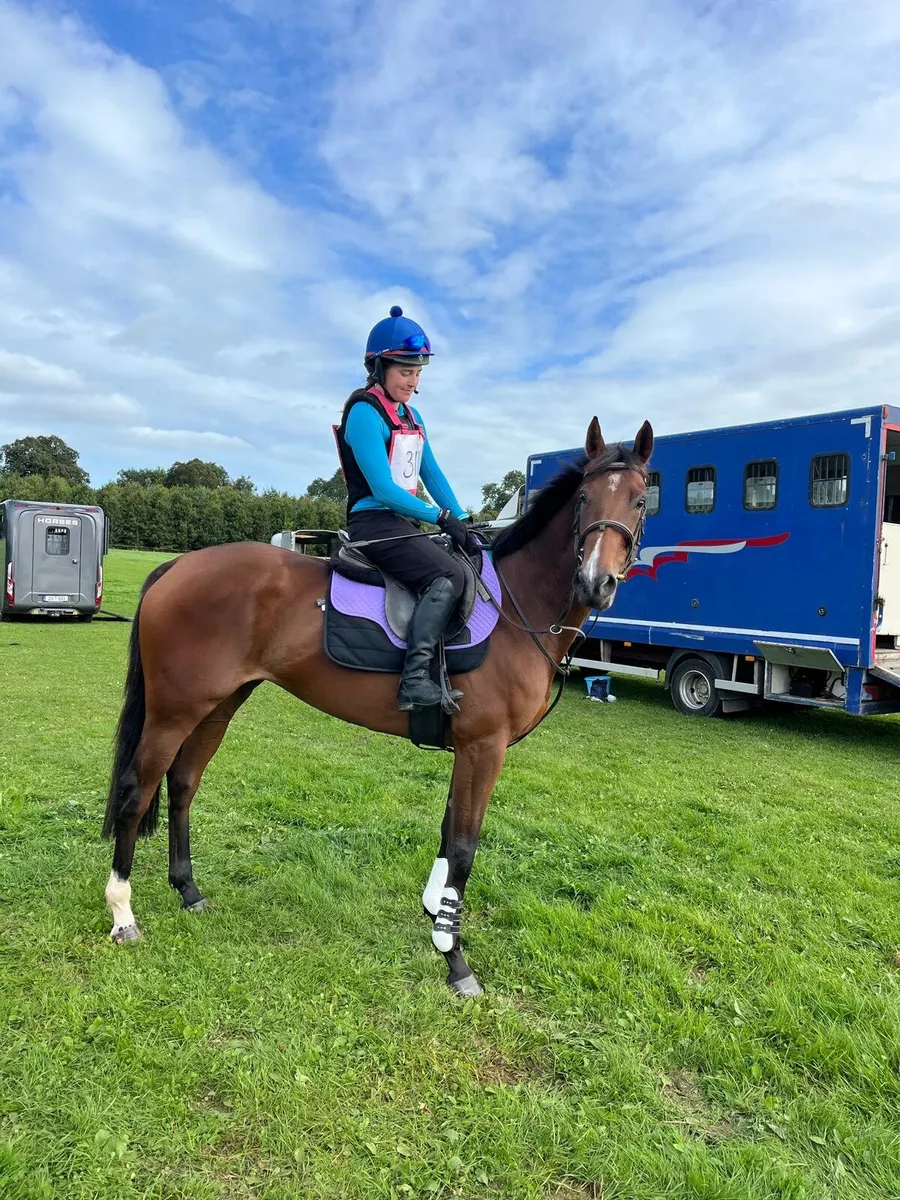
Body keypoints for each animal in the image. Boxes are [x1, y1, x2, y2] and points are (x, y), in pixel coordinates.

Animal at [102, 418, 653, 996]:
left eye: (640, 500)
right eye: (585, 498)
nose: (596, 582)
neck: (514, 608)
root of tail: (178, 566)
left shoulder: (467, 749)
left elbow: (448, 831)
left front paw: (437, 917)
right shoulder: (485, 747)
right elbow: (464, 845)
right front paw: (455, 959)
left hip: (218, 704)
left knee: (183, 783)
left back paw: (188, 889)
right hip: (173, 711)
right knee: (136, 791)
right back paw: (122, 913)